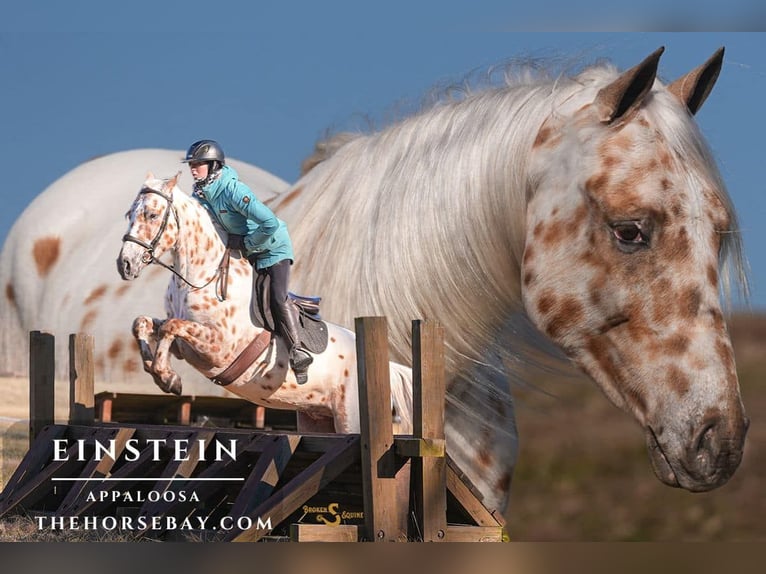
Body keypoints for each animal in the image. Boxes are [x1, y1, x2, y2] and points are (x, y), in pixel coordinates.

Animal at [116, 173, 412, 434]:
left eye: (152, 215)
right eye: (129, 214)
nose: (125, 264)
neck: (200, 274)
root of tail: (389, 368)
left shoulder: (217, 347)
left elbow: (171, 327)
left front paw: (168, 378)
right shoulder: (186, 346)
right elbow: (143, 324)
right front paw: (158, 370)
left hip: (350, 418)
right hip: (317, 418)